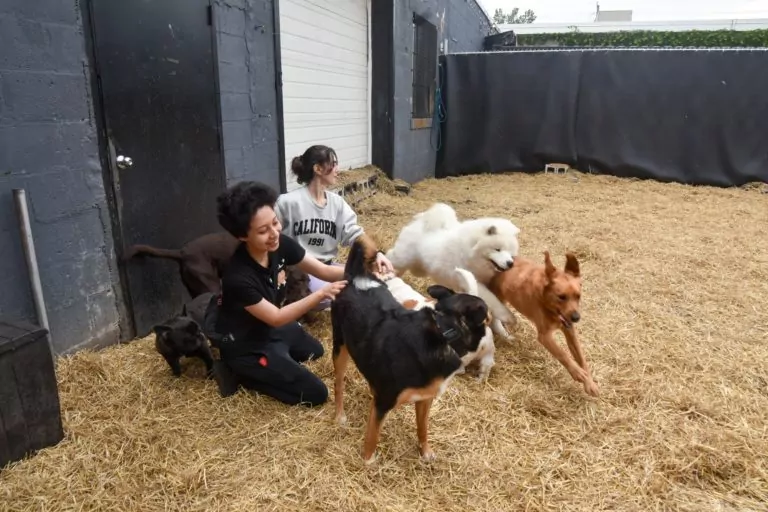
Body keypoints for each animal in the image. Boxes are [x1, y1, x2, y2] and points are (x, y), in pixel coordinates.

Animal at [328, 235, 486, 464]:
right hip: (340, 347)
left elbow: (423, 428)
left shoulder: (425, 399)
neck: (444, 333)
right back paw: (339, 415)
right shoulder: (383, 402)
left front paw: (425, 452)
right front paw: (367, 461)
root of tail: (357, 276)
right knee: (338, 385)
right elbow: (372, 436)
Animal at [384, 203, 520, 340]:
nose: (510, 263)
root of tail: (421, 221)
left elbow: (495, 313)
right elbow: (493, 300)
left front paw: (504, 334)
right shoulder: (473, 281)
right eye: (497, 249)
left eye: (510, 253)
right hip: (402, 258)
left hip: (416, 267)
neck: (470, 251)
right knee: (390, 256)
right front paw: (508, 316)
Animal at [488, 251, 604, 396]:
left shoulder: (570, 331)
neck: (547, 304)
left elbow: (582, 359)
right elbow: (562, 354)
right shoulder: (545, 336)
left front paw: (590, 384)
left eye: (578, 296)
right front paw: (578, 373)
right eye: (561, 297)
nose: (576, 317)